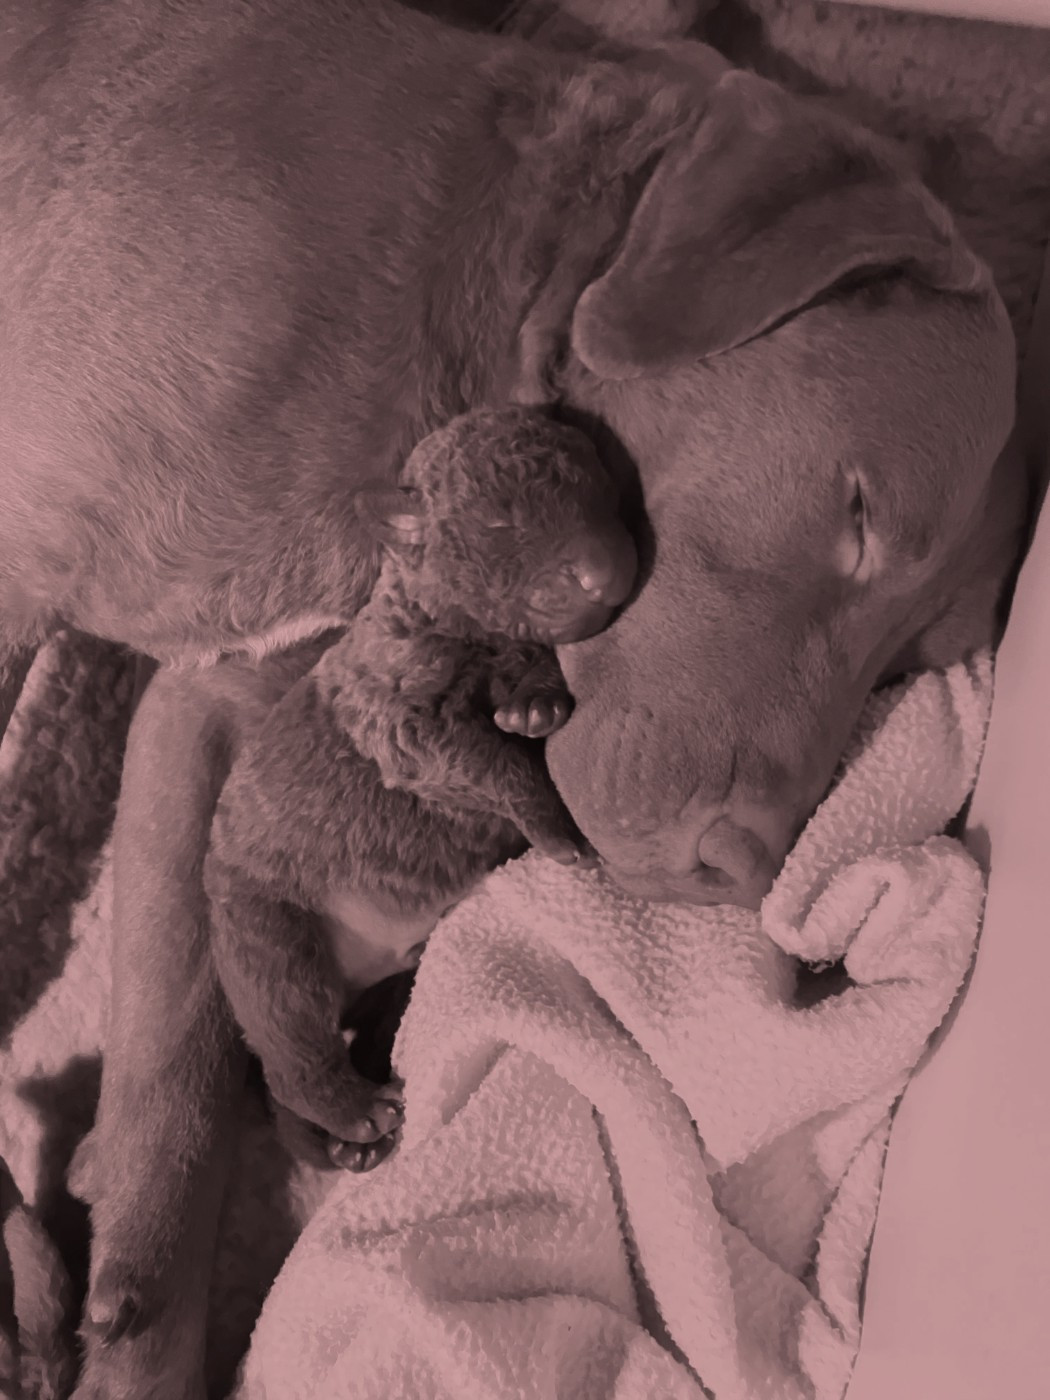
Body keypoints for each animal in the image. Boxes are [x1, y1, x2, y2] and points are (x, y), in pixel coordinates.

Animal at [0, 2, 1022, 1395]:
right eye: (857, 513)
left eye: (910, 663)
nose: (742, 867)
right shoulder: (54, 588)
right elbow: (172, 1072)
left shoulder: (218, 708)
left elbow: (183, 1065)